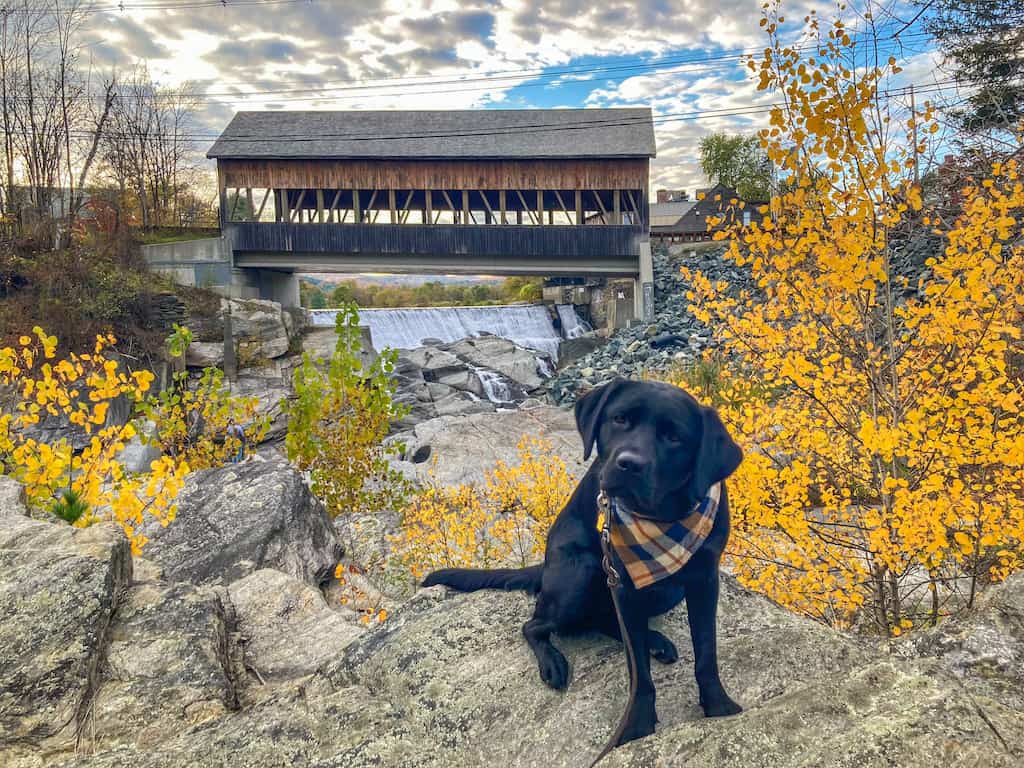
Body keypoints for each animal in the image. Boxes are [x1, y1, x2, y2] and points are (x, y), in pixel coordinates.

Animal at [423, 378, 745, 745]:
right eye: (620, 419)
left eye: (674, 437)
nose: (629, 464)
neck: (662, 518)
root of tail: (545, 566)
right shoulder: (623, 584)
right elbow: (639, 673)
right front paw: (637, 726)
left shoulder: (704, 579)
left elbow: (706, 652)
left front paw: (718, 705)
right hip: (582, 572)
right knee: (534, 625)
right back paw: (553, 661)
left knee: (607, 623)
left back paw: (653, 640)